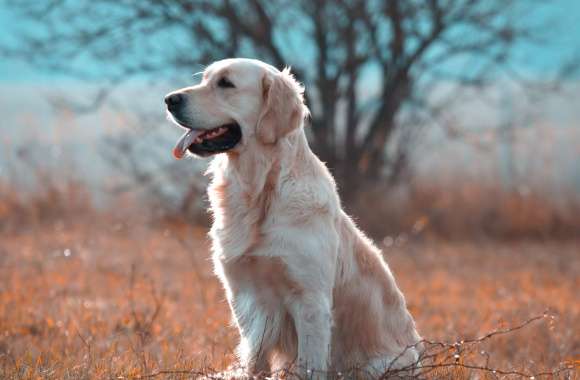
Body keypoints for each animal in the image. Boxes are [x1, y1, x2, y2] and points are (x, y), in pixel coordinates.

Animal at [165, 58, 420, 376]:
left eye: (225, 83)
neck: (260, 193)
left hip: (377, 366)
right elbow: (255, 360)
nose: (169, 100)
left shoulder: (310, 300)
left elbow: (309, 365)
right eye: (204, 79)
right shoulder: (244, 296)